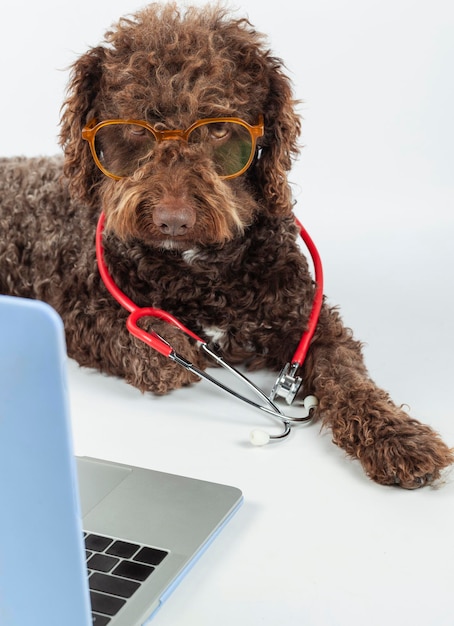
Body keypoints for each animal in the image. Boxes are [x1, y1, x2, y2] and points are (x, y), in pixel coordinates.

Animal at [0, 2, 452, 486]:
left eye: (219, 129)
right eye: (137, 129)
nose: (172, 220)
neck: (201, 269)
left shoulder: (312, 320)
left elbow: (346, 374)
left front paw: (396, 435)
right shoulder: (75, 306)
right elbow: (153, 351)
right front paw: (170, 343)